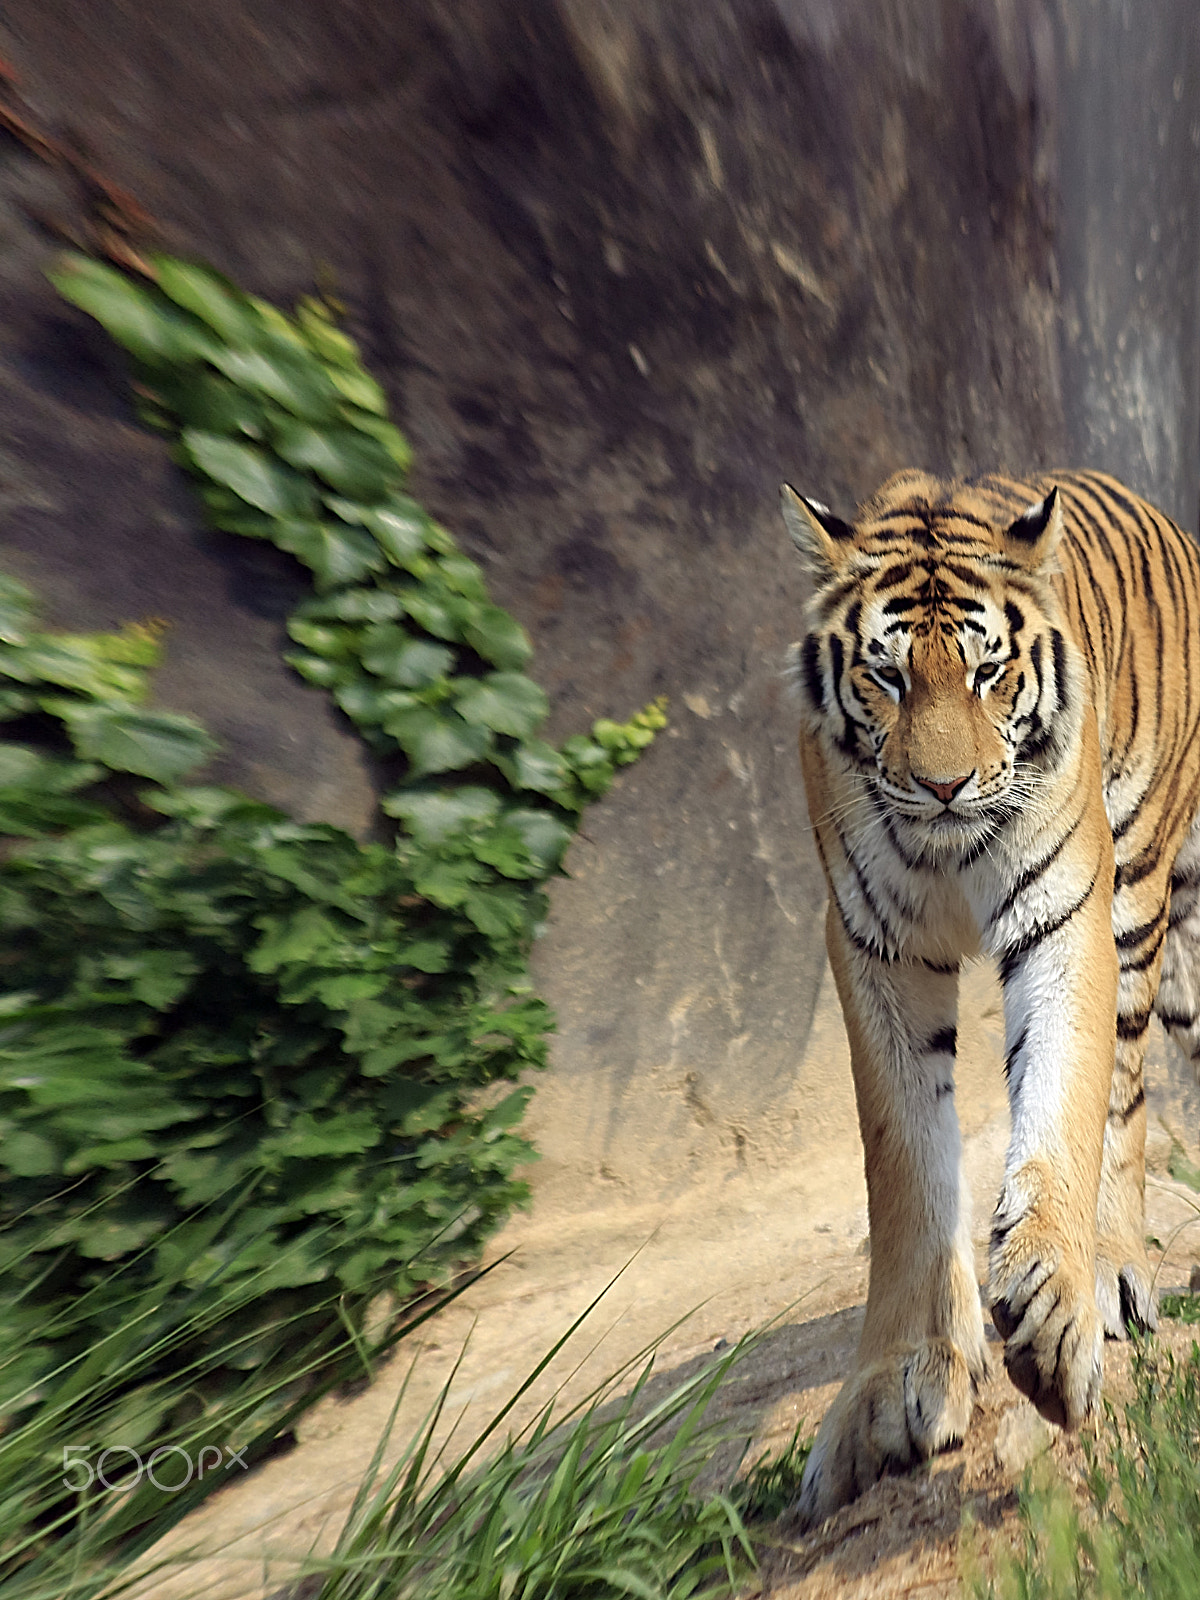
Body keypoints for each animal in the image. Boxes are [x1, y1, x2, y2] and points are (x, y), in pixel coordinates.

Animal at [780, 468, 1200, 1525]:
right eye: (887, 678)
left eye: (986, 673)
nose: (943, 786)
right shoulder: (872, 946)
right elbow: (902, 1164)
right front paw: (896, 1383)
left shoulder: (1067, 909)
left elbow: (1064, 1095)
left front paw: (1054, 1308)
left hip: (1140, 886)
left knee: (1125, 1089)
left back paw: (1115, 1268)